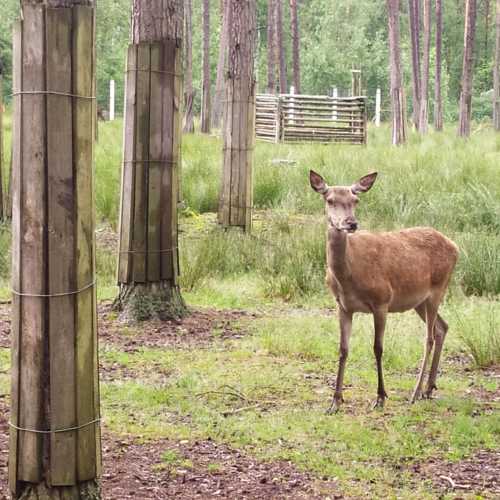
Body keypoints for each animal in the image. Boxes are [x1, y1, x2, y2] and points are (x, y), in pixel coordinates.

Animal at [310, 170, 458, 412]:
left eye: (355, 200)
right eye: (329, 200)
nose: (351, 223)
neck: (349, 276)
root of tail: (456, 247)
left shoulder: (382, 301)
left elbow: (377, 348)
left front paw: (380, 397)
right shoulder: (343, 306)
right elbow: (343, 349)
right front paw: (335, 401)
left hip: (439, 288)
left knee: (428, 337)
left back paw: (415, 393)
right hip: (419, 301)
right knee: (442, 328)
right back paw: (428, 388)